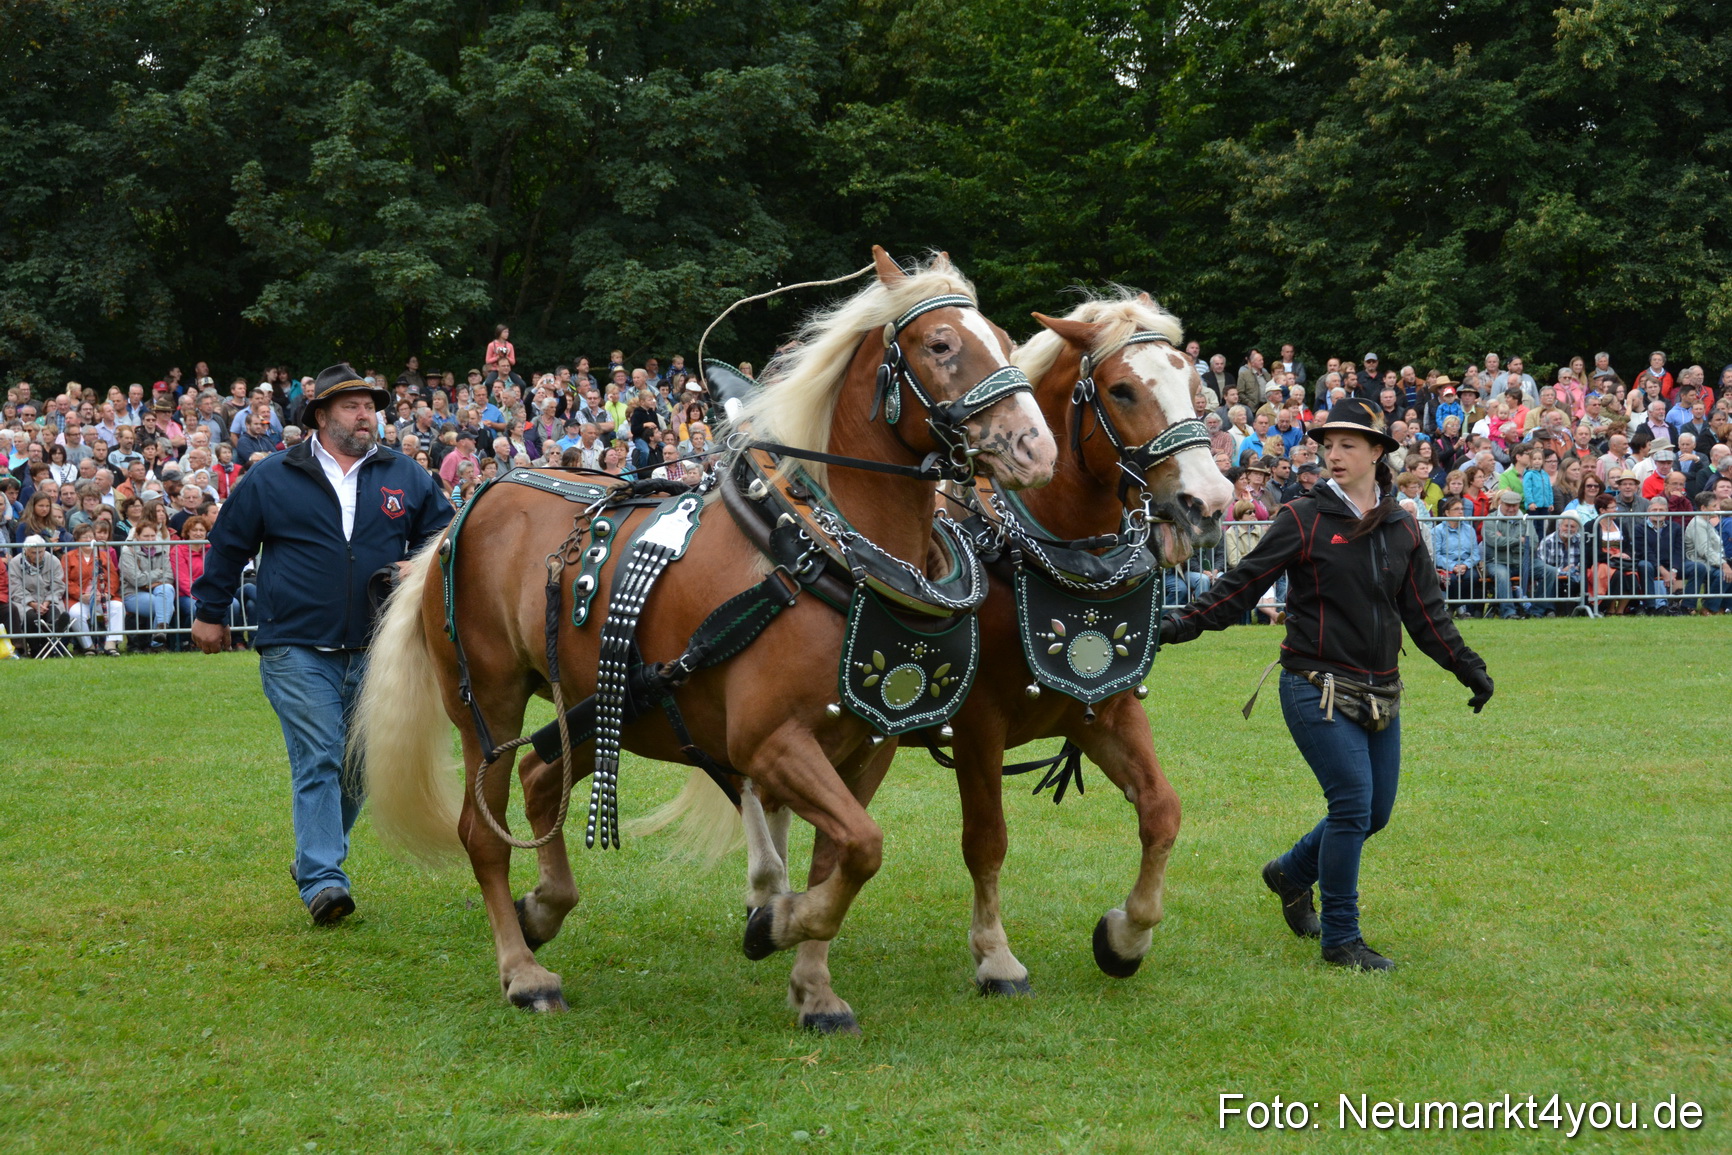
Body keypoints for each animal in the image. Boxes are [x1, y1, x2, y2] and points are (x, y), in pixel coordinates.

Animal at [354, 247, 1058, 1030]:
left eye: (1006, 338)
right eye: (940, 345)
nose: (1035, 446)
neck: (820, 554)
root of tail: (460, 517)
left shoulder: (866, 744)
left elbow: (841, 857)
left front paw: (812, 985)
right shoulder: (770, 741)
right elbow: (863, 849)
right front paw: (774, 924)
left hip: (607, 704)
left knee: (542, 779)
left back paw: (544, 908)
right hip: (491, 704)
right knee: (484, 832)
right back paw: (523, 969)